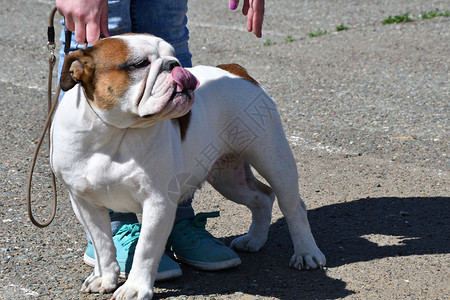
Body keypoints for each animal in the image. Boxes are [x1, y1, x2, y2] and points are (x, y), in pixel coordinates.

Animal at [51, 34, 326, 298]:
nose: (174, 65)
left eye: (173, 55)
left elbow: (145, 249)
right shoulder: (85, 204)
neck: (113, 132)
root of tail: (235, 70)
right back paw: (254, 240)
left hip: (274, 159)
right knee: (262, 197)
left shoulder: (158, 202)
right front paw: (105, 278)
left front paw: (135, 288)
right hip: (229, 178)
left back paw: (306, 253)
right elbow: (102, 244)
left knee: (293, 207)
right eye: (139, 64)